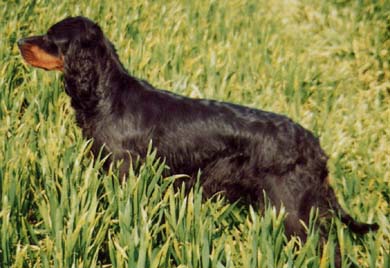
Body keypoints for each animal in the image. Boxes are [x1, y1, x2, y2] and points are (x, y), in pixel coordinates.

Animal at [19, 16, 378, 242]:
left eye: (51, 38)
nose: (20, 40)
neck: (107, 95)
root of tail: (314, 145)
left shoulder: (124, 170)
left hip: (291, 209)